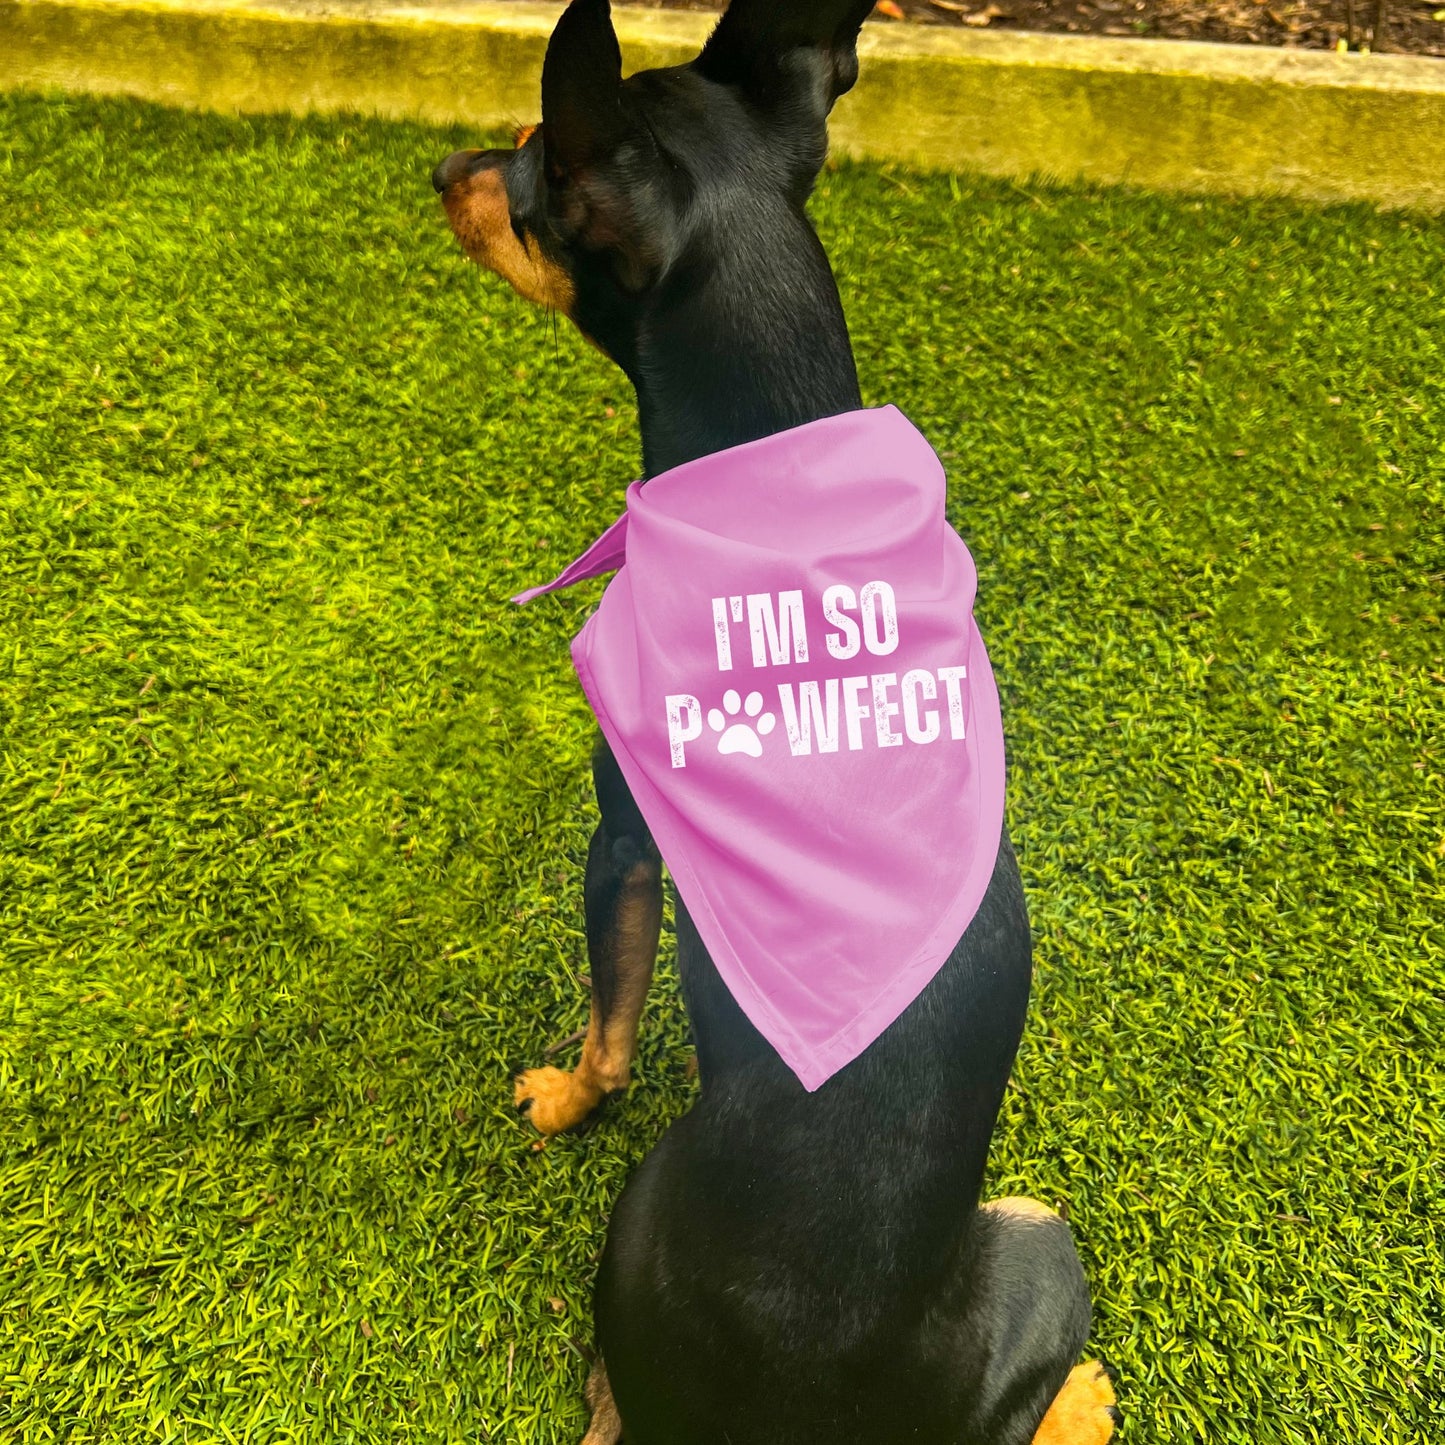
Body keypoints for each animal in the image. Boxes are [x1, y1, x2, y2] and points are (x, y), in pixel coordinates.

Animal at [427, 5, 1115, 1439]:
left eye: (524, 163)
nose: (438, 166)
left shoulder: (620, 839)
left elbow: (610, 1022)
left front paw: (562, 1096)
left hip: (1025, 1229)